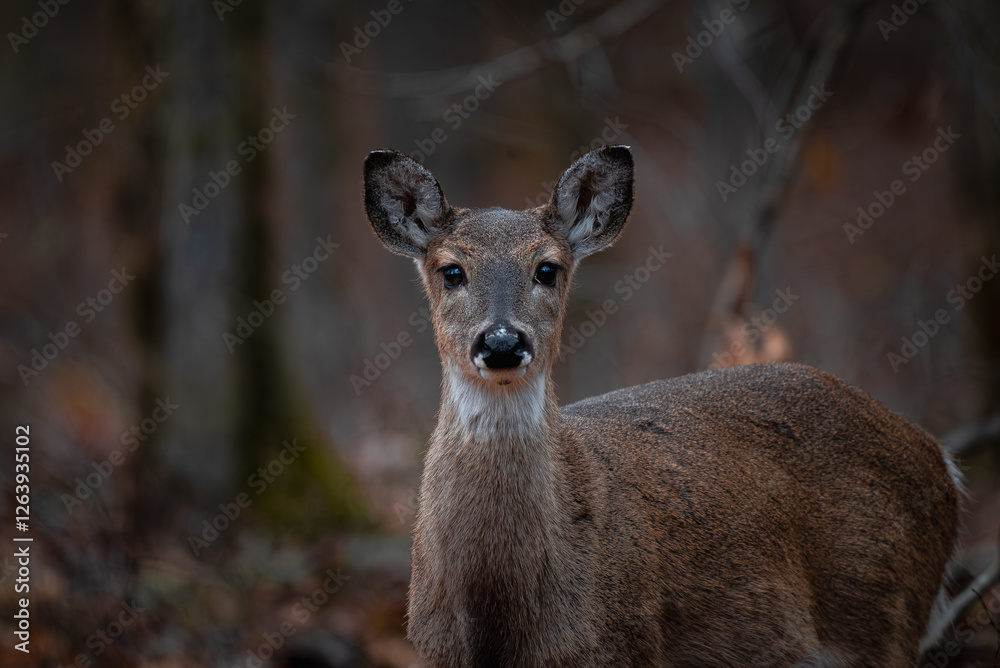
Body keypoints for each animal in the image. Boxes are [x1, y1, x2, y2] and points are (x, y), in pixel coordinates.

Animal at [362, 145, 961, 667]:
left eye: (548, 268)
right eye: (451, 271)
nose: (504, 342)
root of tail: (940, 459)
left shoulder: (624, 644)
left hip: (885, 616)